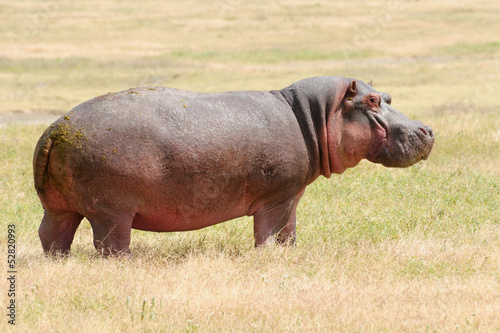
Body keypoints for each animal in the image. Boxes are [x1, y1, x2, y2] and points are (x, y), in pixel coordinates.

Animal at [34, 76, 434, 255]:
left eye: (387, 96)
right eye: (372, 100)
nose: (427, 129)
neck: (314, 116)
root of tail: (56, 128)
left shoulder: (292, 195)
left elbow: (289, 230)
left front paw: (291, 253)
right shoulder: (278, 198)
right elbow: (271, 231)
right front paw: (271, 256)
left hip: (59, 206)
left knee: (52, 235)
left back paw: (59, 261)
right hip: (111, 211)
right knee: (110, 244)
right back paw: (128, 261)